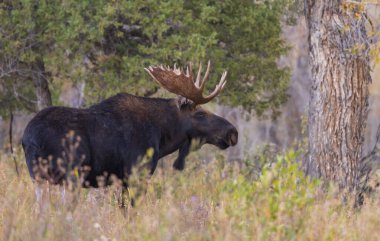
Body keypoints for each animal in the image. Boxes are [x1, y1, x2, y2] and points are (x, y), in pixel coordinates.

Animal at [22, 61, 238, 187]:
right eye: (200, 113)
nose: (232, 132)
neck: (162, 136)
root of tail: (28, 139)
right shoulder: (135, 173)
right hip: (67, 175)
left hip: (39, 177)